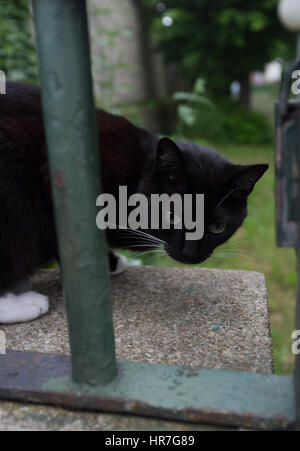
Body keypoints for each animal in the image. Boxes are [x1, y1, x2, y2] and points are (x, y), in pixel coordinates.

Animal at [0, 83, 268, 324]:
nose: (190, 254)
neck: (138, 171)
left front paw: (107, 263)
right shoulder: (58, 176)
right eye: (172, 215)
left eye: (217, 227)